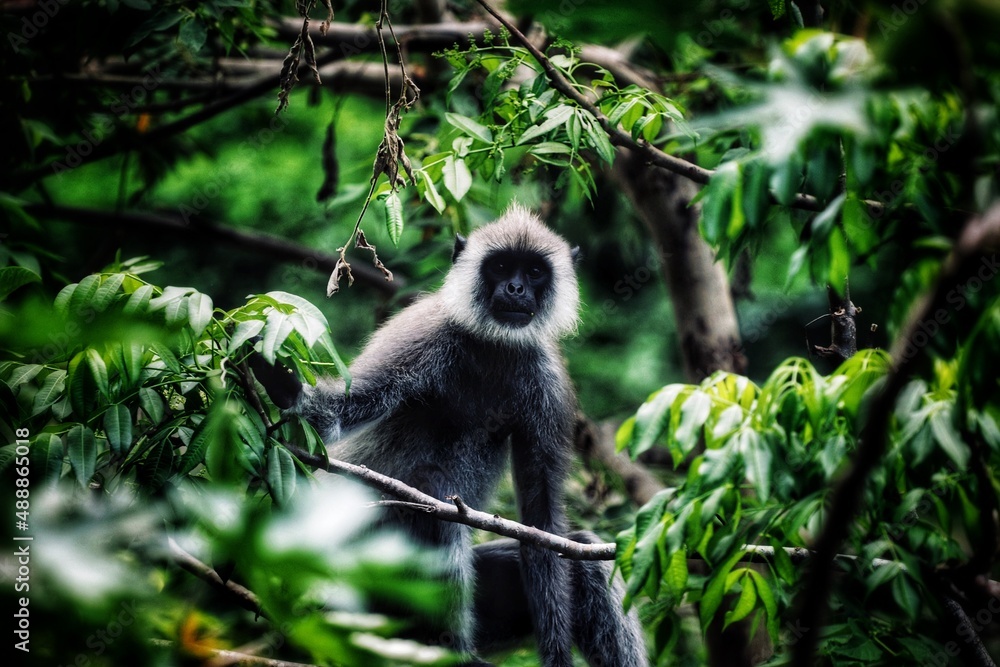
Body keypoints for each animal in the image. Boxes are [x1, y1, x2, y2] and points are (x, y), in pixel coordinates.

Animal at [254, 205, 648, 667]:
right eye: (500, 267)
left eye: (534, 271)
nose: (515, 288)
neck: (492, 347)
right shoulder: (422, 334)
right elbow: (337, 414)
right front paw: (286, 390)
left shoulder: (546, 382)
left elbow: (541, 527)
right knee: (434, 491)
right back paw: (452, 652)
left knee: (584, 553)